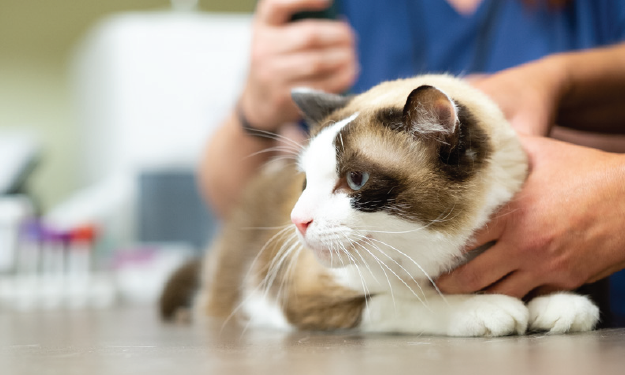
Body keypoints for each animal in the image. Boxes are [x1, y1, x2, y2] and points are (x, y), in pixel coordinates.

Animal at [161, 74, 600, 338]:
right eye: (306, 182)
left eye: (355, 180)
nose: (297, 221)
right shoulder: (309, 298)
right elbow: (406, 303)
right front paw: (487, 308)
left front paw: (559, 303)